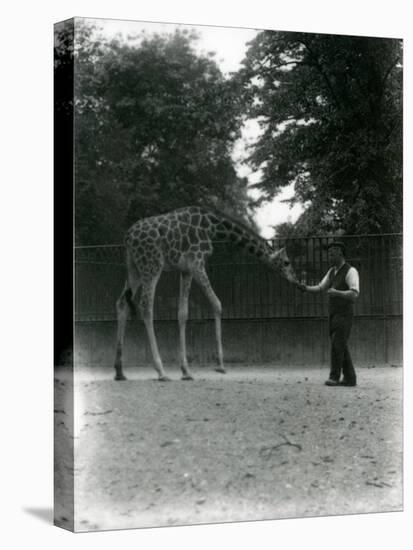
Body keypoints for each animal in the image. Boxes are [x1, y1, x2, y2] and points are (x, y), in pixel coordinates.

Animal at [113, 205, 300, 382]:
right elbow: (217, 304)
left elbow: (183, 313)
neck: (213, 226)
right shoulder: (197, 263)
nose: (296, 280)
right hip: (152, 265)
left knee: (122, 303)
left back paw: (120, 371)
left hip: (134, 268)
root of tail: (128, 237)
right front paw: (220, 365)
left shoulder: (186, 270)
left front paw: (186, 371)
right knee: (146, 306)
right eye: (286, 262)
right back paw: (161, 371)